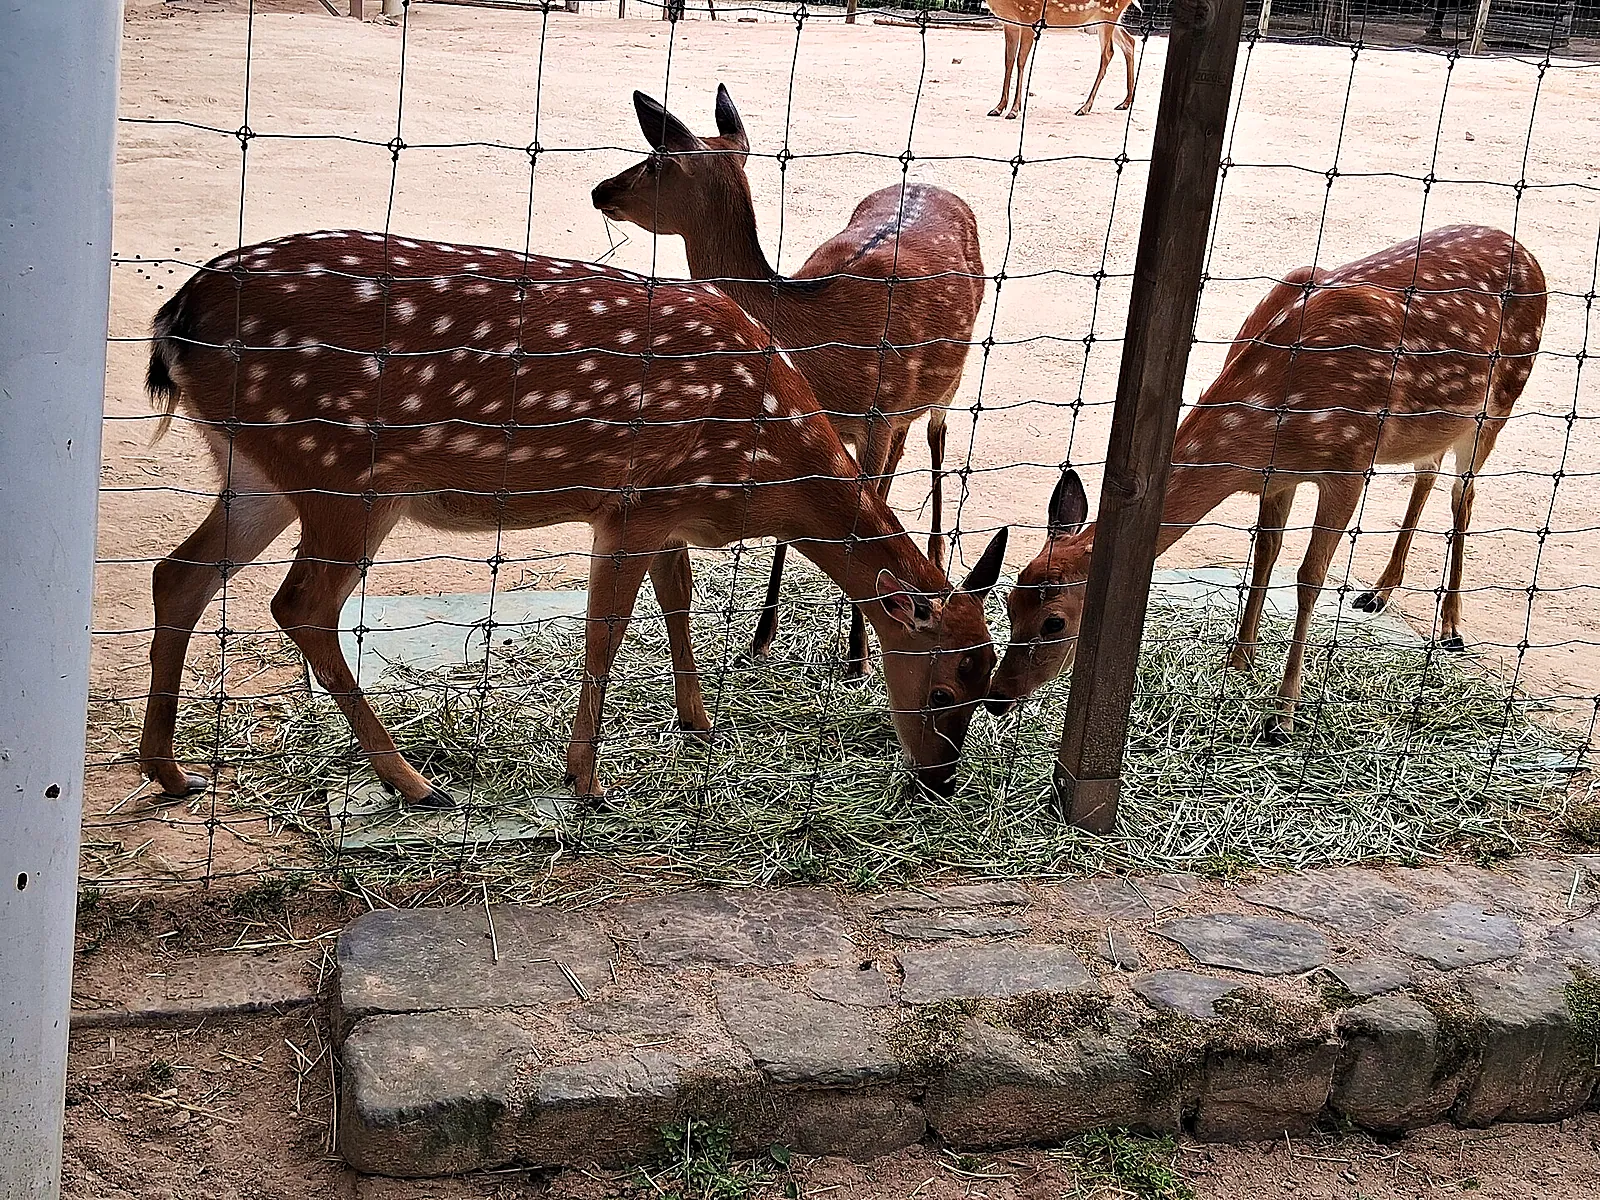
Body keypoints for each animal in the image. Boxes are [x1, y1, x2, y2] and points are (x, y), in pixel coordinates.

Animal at [137, 231, 1011, 807]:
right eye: (945, 691)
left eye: (991, 686)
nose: (941, 782)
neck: (765, 461)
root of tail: (177, 316)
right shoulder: (635, 505)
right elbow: (607, 632)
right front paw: (586, 779)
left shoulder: (668, 511)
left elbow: (677, 602)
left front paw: (698, 724)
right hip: (342, 475)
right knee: (299, 604)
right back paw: (414, 782)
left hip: (257, 469)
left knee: (178, 573)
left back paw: (171, 770)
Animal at [591, 85, 985, 679]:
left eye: (656, 160)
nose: (600, 190)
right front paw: (761, 633)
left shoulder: (877, 414)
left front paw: (857, 651)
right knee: (901, 459)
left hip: (950, 383)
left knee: (937, 444)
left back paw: (938, 552)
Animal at [984, 0, 1142, 120]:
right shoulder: (1010, 23)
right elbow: (1008, 62)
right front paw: (998, 108)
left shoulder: (1030, 15)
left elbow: (1020, 61)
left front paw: (1014, 110)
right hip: (1104, 18)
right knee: (1129, 42)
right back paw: (1125, 102)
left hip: (1108, 14)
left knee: (1108, 53)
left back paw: (1084, 107)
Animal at [986, 225, 1546, 742]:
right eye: (1008, 604)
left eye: (1054, 621)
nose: (996, 698)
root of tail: (1524, 249)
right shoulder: (1278, 478)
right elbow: (1264, 557)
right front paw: (1239, 660)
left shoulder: (1349, 462)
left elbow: (1308, 578)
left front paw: (1283, 711)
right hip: (1434, 425)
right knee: (1426, 474)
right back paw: (1379, 593)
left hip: (1499, 399)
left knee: (1464, 494)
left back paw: (1451, 625)